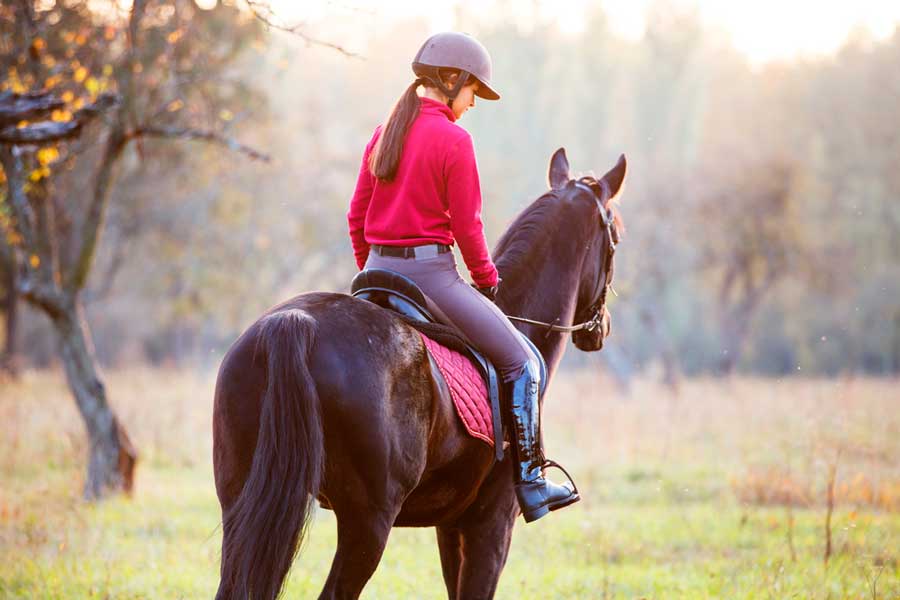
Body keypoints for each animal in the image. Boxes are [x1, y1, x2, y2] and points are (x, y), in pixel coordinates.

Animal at [212, 147, 627, 600]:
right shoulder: (491, 523)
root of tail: (295, 322)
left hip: (243, 499)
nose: (601, 329)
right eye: (616, 236)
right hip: (368, 520)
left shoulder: (451, 525)